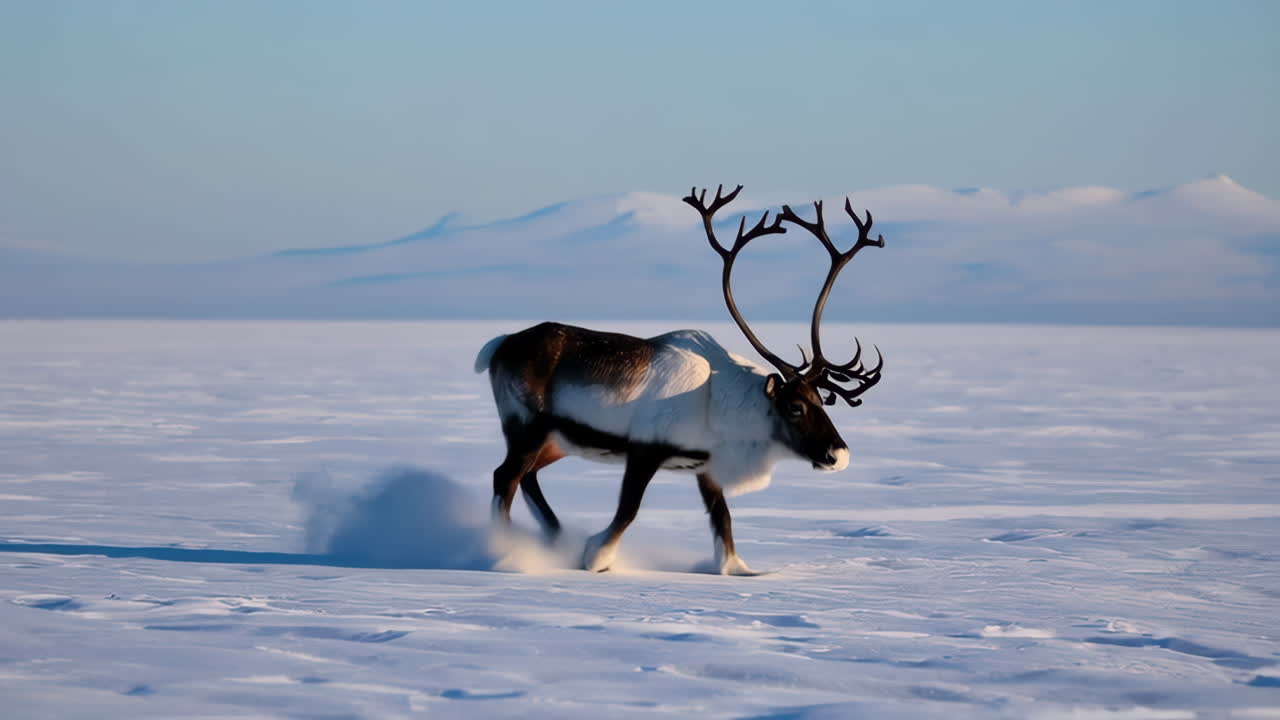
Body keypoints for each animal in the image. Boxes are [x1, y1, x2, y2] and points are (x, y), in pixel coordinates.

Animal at [474, 185, 886, 574]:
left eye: (821, 400)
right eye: (796, 406)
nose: (839, 454)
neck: (720, 406)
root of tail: (501, 343)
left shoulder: (706, 467)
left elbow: (723, 521)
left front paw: (738, 569)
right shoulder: (645, 450)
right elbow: (628, 510)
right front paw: (595, 557)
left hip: (557, 441)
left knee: (526, 478)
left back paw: (553, 538)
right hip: (528, 426)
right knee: (504, 477)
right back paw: (503, 553)